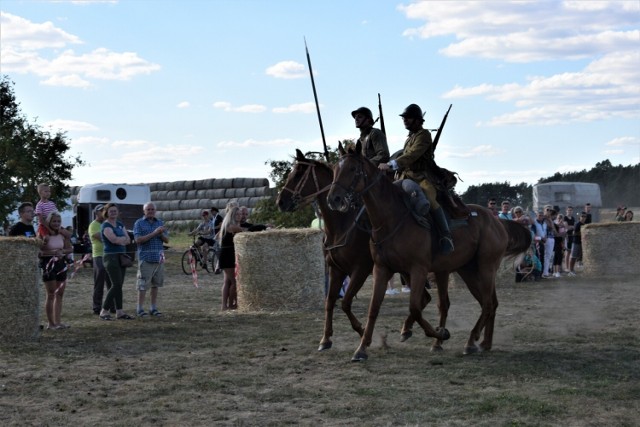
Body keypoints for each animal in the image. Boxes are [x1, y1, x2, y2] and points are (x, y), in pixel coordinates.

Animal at [274, 150, 430, 352]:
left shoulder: (360, 270)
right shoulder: (336, 270)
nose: (280, 202)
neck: (342, 224)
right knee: (424, 299)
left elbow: (346, 302)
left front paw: (362, 332)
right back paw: (408, 329)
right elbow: (330, 301)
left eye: (299, 174)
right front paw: (325, 339)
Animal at [328, 142, 532, 362]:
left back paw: (471, 341)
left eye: (352, 169)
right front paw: (361, 348)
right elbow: (374, 308)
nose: (334, 199)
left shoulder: (418, 269)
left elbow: (415, 308)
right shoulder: (381, 269)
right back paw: (484, 343)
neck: (391, 218)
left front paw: (438, 334)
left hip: (486, 267)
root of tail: (497, 221)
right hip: (468, 271)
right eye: (335, 169)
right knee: (490, 303)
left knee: (486, 303)